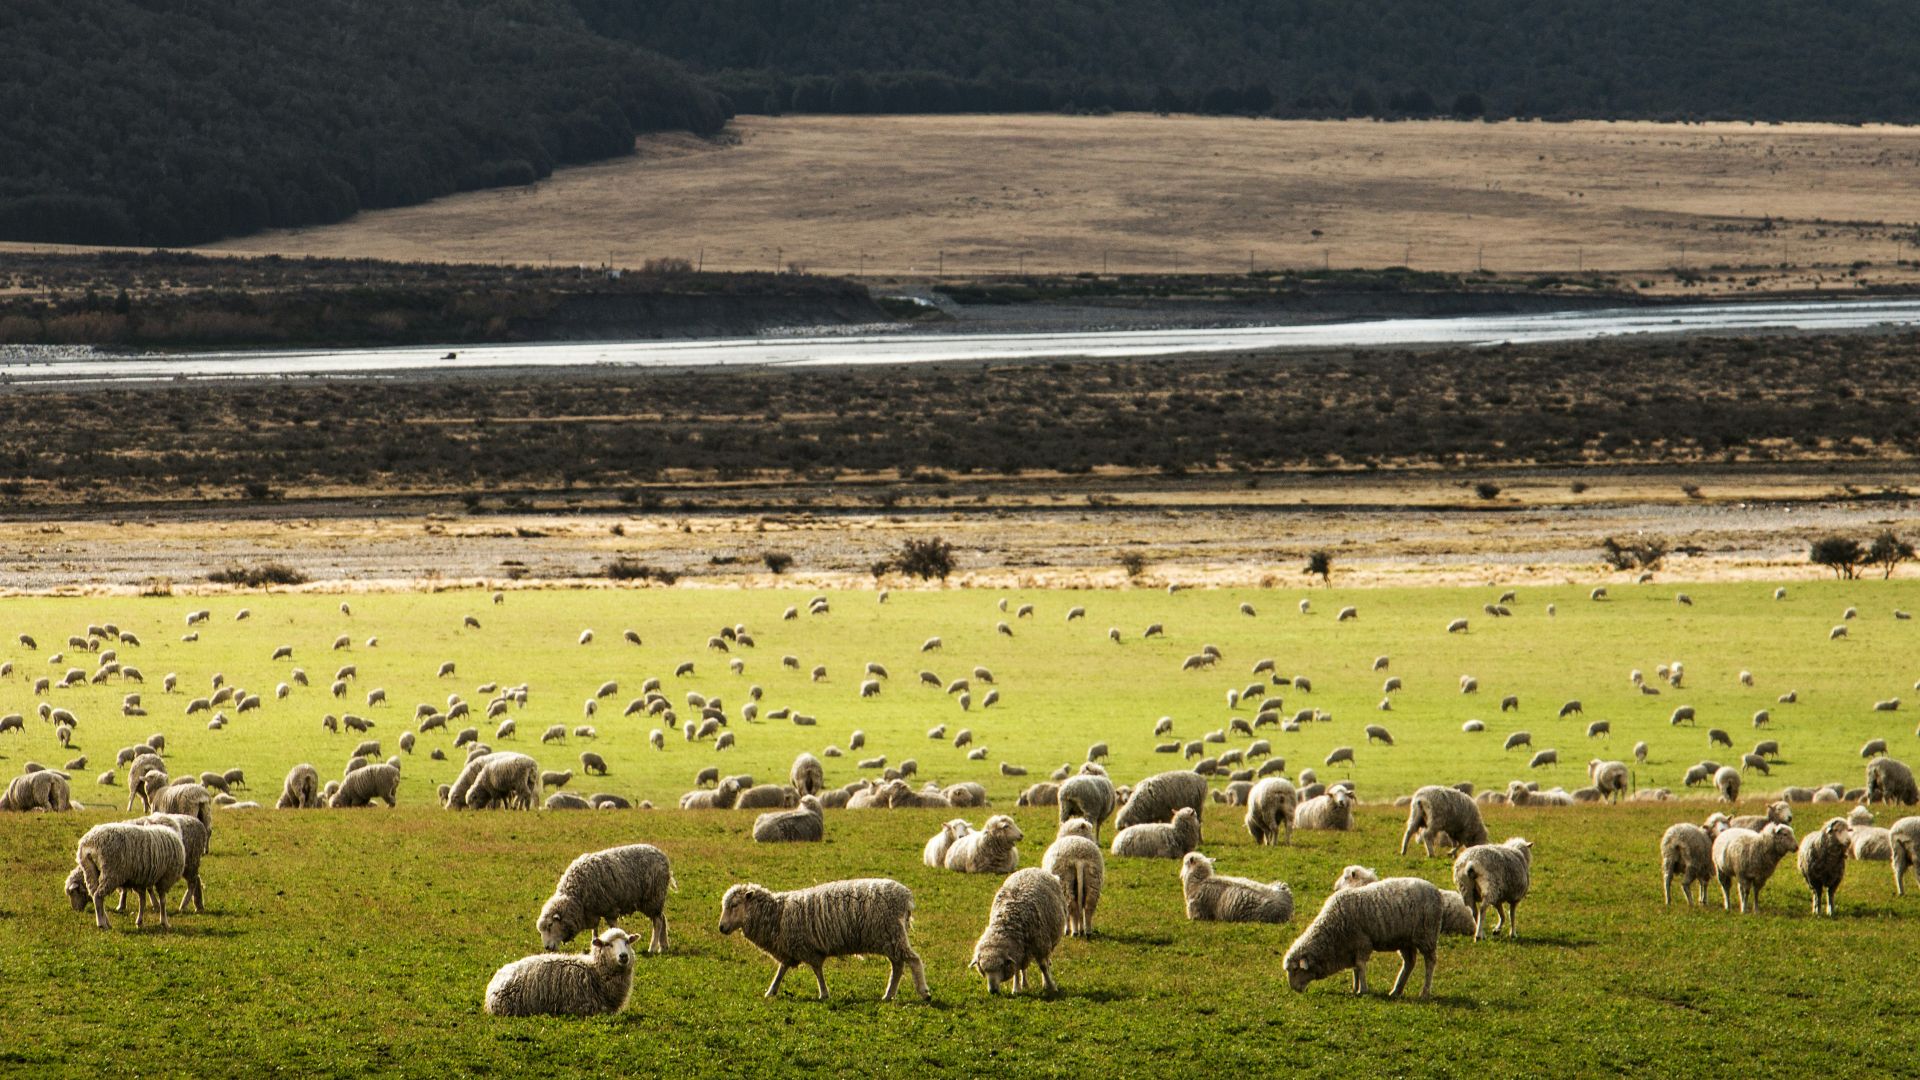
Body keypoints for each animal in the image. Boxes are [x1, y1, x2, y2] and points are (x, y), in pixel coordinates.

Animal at [718, 878, 929, 1001]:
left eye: (734, 905)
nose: (721, 928)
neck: (777, 914)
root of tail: (905, 897)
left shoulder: (807, 948)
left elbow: (817, 971)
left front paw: (824, 994)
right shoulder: (789, 948)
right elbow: (781, 970)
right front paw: (771, 991)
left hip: (891, 934)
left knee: (913, 960)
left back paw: (924, 992)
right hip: (890, 938)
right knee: (898, 966)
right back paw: (888, 995)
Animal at [1283, 877, 1442, 998]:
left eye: (1295, 969)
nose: (1293, 988)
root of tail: (1436, 890)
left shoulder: (1362, 943)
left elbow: (1360, 966)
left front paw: (1363, 990)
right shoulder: (1351, 946)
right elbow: (1355, 969)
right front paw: (1355, 987)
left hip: (1426, 935)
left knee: (1430, 962)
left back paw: (1425, 992)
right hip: (1405, 941)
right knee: (1409, 963)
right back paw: (1396, 991)